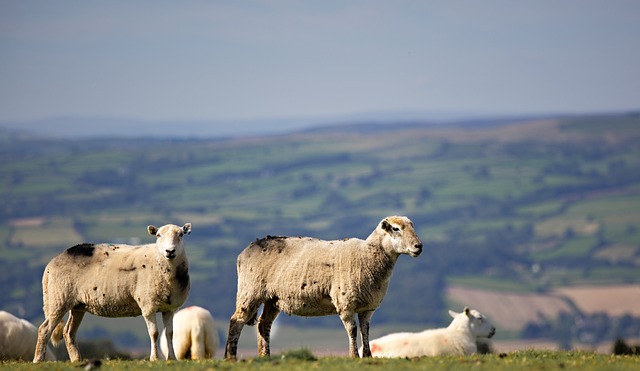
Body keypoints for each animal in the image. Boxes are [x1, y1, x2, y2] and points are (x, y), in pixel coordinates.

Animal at [33, 224, 192, 364]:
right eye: (158, 235)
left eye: (181, 234)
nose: (169, 251)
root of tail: (51, 263)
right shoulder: (148, 305)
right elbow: (154, 333)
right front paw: (155, 358)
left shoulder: (170, 308)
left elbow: (169, 334)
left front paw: (172, 358)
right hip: (58, 298)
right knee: (44, 329)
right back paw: (38, 360)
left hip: (77, 305)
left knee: (68, 332)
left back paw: (76, 359)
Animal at [225, 215, 424, 360]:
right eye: (396, 229)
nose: (419, 246)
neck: (367, 255)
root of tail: (246, 250)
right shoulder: (345, 302)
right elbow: (352, 330)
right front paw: (354, 356)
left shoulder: (367, 307)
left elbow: (365, 330)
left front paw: (368, 357)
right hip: (250, 290)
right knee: (236, 321)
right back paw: (230, 357)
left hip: (273, 298)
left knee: (263, 325)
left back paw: (265, 356)